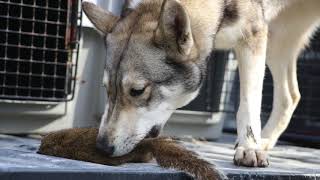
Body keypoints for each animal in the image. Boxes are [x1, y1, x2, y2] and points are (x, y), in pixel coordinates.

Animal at [82, 0, 320, 167]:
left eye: (137, 91)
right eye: (107, 90)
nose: (101, 147)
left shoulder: (253, 36)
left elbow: (248, 104)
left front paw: (249, 148)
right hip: (276, 42)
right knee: (291, 96)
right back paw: (266, 141)